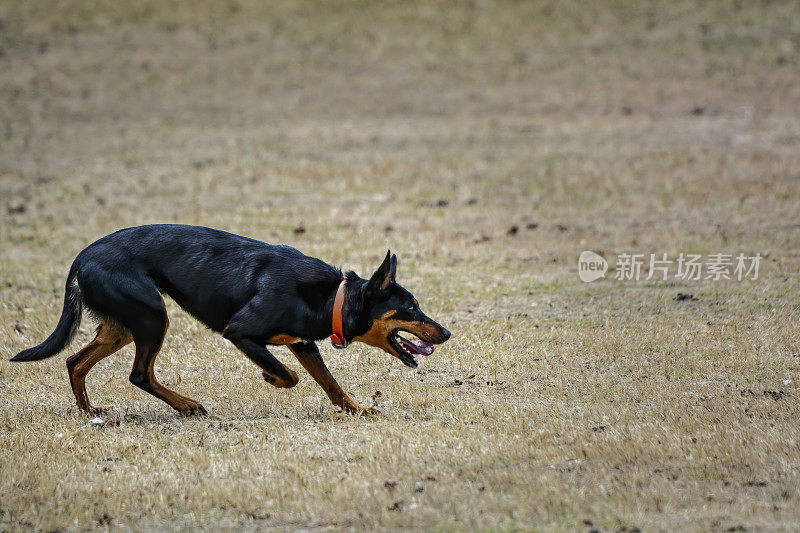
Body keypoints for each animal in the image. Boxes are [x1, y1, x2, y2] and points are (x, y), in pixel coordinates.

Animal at [10, 224, 450, 416]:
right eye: (412, 308)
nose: (446, 332)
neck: (332, 298)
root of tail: (81, 257)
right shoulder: (240, 333)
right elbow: (289, 375)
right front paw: (269, 376)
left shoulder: (302, 343)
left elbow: (330, 384)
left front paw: (358, 410)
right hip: (152, 317)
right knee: (139, 374)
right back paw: (187, 405)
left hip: (123, 326)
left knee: (74, 362)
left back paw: (92, 414)